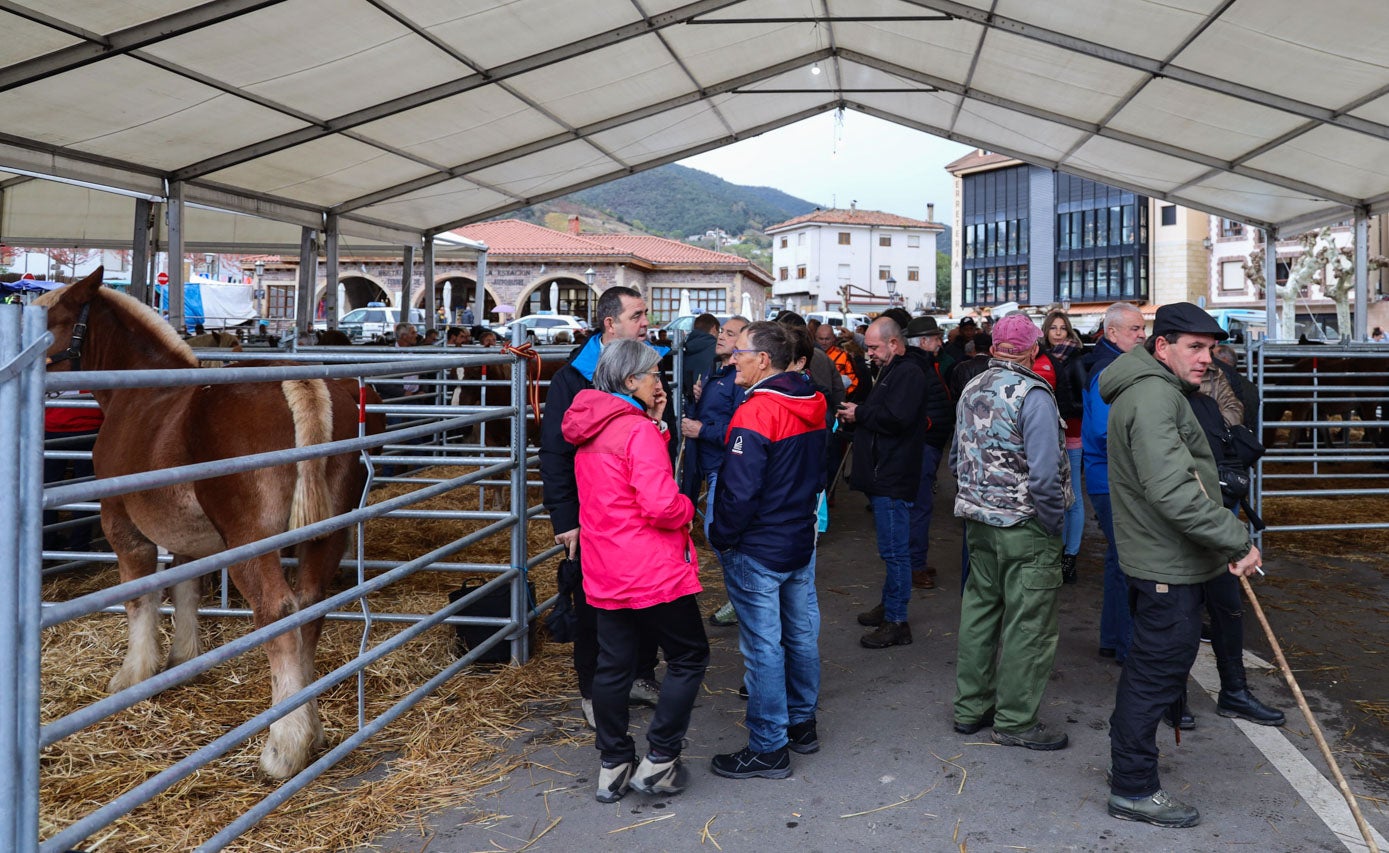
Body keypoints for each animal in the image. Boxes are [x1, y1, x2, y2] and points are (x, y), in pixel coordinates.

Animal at [38, 269, 386, 783]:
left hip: (253, 542)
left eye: (47, 321)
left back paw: (284, 748)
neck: (136, 393)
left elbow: (139, 597)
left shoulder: (123, 525)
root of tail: (298, 381)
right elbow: (187, 589)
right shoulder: (189, 539)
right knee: (309, 608)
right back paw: (313, 731)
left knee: (277, 613)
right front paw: (183, 660)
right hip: (325, 536)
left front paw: (133, 676)